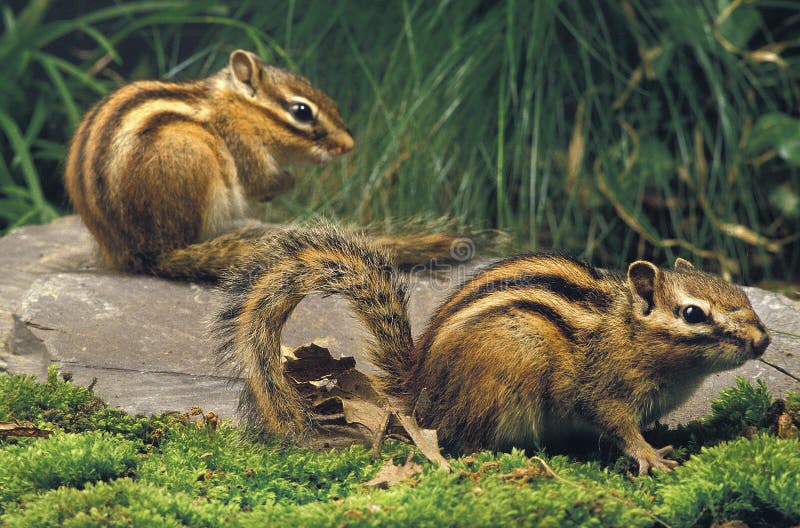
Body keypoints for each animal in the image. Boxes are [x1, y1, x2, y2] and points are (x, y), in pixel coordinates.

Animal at [65, 49, 471, 280]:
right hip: (191, 157)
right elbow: (260, 181)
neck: (239, 106)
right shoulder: (244, 146)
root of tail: (143, 252)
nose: (348, 145)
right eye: (302, 111)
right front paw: (289, 183)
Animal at [212, 222, 771, 475]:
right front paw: (651, 456)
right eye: (693, 314)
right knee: (469, 441)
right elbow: (616, 425)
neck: (626, 332)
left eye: (740, 293)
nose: (763, 340)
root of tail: (418, 390)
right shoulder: (601, 388)